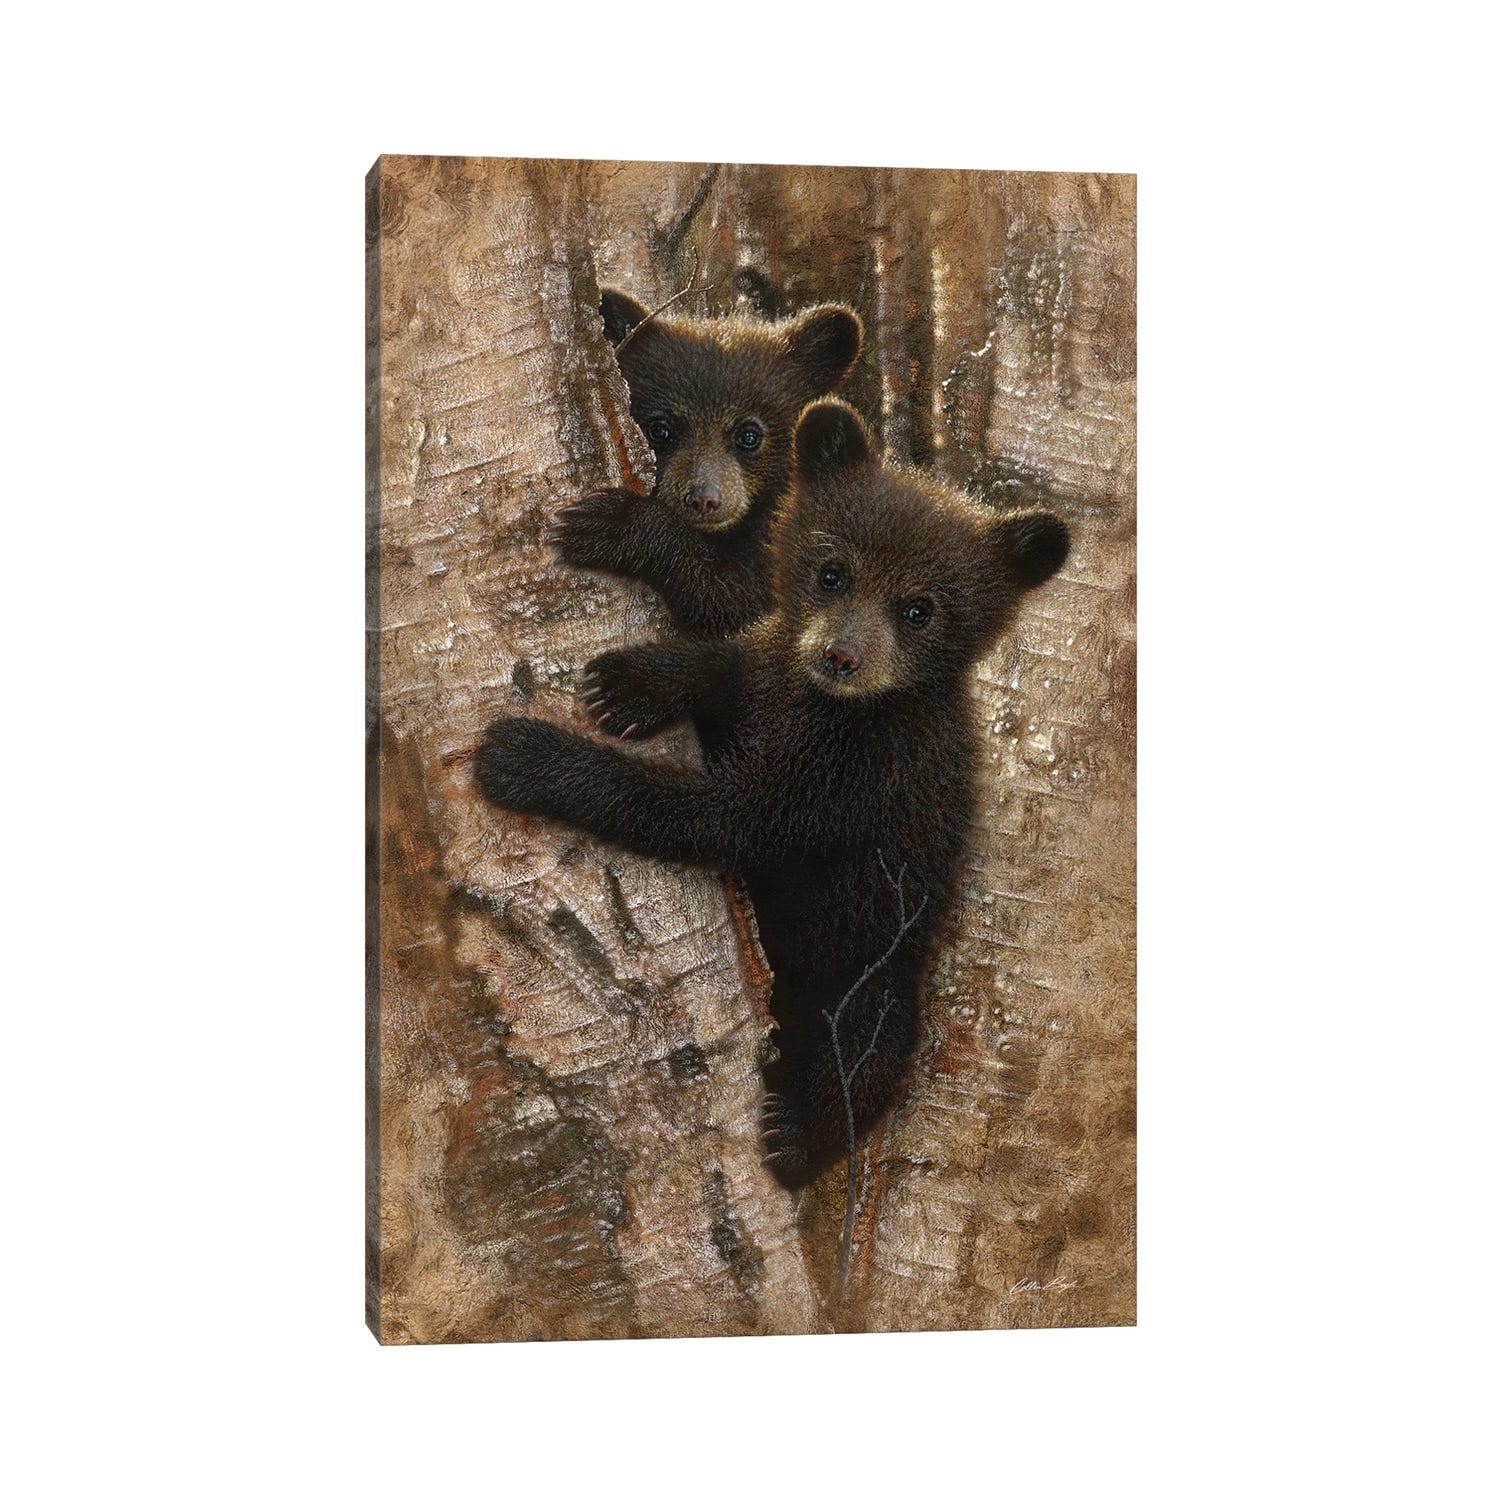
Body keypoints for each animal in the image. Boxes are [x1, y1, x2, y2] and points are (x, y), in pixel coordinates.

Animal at [478, 399, 1070, 1188]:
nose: (842, 656)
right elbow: (733, 641)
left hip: (869, 961)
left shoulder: (859, 775)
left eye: (921, 609)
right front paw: (636, 679)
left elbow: (726, 817)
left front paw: (524, 755)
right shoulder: (776, 671)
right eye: (832, 572)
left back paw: (796, 1139)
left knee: (868, 1051)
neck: (836, 710)